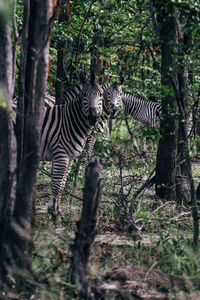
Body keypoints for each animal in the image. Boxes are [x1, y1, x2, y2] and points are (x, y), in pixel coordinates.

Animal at [40, 70, 104, 216]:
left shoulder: (69, 157)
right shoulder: (60, 154)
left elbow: (62, 184)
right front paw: (52, 212)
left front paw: (57, 209)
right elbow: (57, 184)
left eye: (101, 95)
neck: (69, 121)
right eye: (85, 95)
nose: (93, 117)